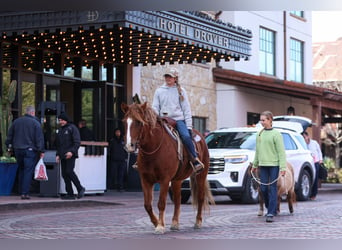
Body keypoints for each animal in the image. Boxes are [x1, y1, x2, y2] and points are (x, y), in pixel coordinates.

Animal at [121, 102, 214, 234]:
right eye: (124, 122)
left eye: (139, 122)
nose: (129, 146)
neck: (153, 149)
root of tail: (201, 137)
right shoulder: (145, 180)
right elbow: (147, 205)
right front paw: (156, 222)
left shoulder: (164, 180)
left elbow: (161, 203)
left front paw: (160, 226)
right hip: (177, 180)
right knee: (178, 200)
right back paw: (175, 223)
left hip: (201, 175)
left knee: (200, 197)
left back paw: (198, 222)